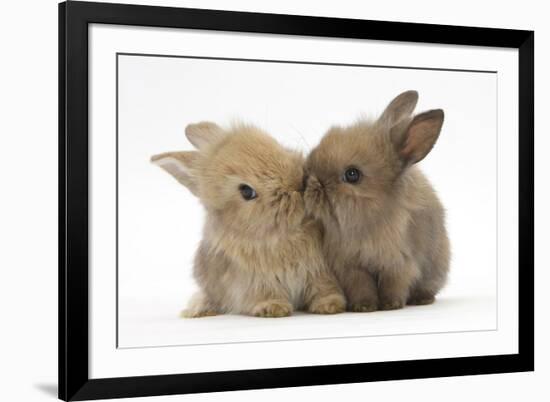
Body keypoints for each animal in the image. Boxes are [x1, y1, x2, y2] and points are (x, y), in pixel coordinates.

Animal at [153, 121, 348, 318]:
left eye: (277, 145)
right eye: (246, 191)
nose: (298, 184)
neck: (284, 234)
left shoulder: (318, 270)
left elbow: (323, 288)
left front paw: (330, 305)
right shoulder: (254, 280)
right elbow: (264, 293)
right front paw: (273, 308)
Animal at [304, 90, 450, 310]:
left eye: (352, 174)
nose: (309, 181)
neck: (367, 220)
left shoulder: (398, 263)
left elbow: (393, 285)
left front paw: (391, 305)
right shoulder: (351, 267)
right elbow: (362, 287)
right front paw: (364, 307)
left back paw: (422, 299)